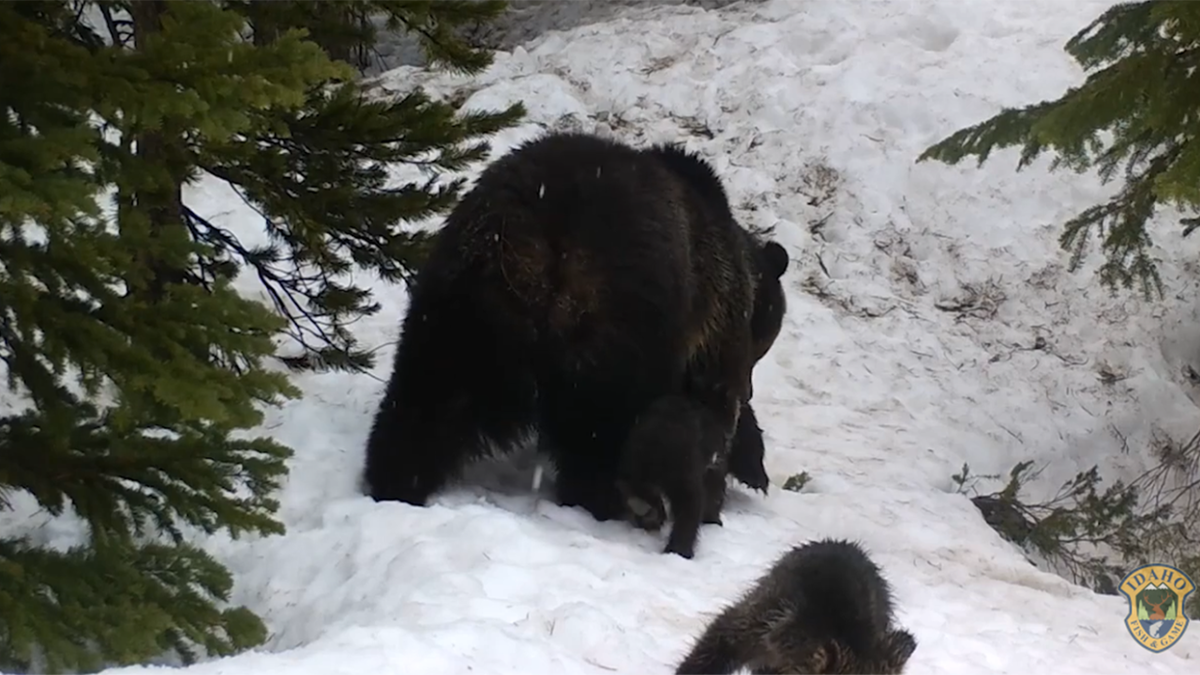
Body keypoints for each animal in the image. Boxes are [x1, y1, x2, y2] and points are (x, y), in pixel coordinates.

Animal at [362, 130, 787, 521]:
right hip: (624, 326)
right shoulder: (713, 327)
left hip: (458, 298)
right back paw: (618, 501)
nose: (751, 388)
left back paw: (394, 481)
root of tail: (535, 243)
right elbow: (713, 409)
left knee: (426, 396)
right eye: (764, 344)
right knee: (601, 433)